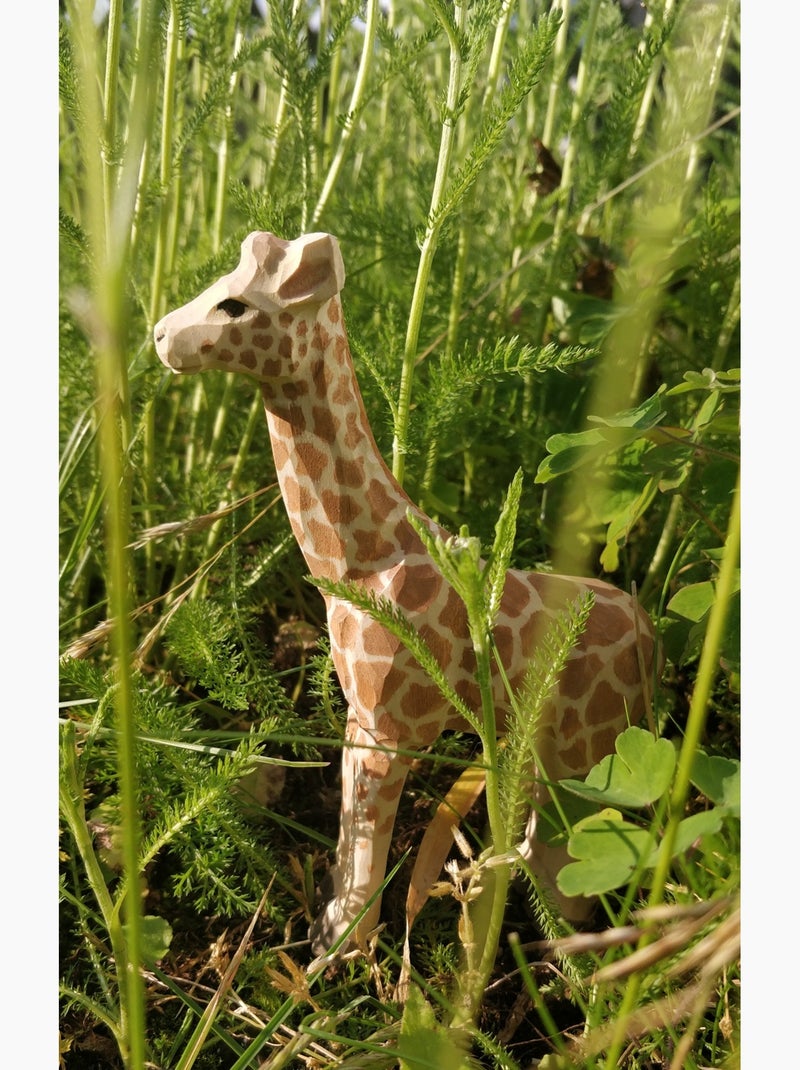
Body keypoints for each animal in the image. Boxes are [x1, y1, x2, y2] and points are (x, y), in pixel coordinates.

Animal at [154, 231, 658, 957]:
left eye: (235, 304)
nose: (162, 335)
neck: (357, 564)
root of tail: (655, 639)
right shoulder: (359, 714)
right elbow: (349, 829)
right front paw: (330, 935)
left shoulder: (390, 722)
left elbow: (368, 835)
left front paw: (346, 947)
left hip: (591, 742)